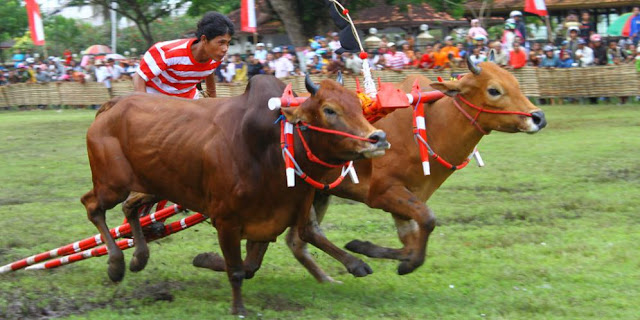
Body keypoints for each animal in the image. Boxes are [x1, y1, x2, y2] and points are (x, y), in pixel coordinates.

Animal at [82, 74, 388, 314]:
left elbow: (303, 237)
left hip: (151, 187)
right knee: (92, 206)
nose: (378, 138)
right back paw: (116, 264)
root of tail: (113, 104)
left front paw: (356, 263)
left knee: (130, 208)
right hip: (112, 185)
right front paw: (238, 307)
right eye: (330, 110)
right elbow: (239, 269)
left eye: (357, 105)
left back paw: (138, 258)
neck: (271, 148)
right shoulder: (226, 222)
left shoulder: (284, 212)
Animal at [195, 58, 544, 282]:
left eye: (516, 83)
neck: (427, 125)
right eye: (494, 90)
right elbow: (427, 222)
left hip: (315, 194)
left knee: (290, 242)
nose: (538, 117)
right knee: (286, 241)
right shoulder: (384, 193)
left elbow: (412, 237)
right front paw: (400, 262)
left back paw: (327, 277)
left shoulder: (405, 199)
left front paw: (377, 251)